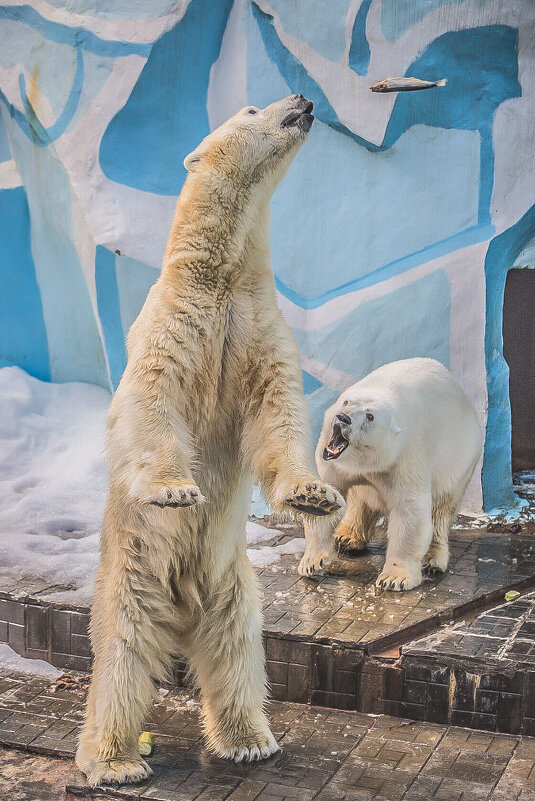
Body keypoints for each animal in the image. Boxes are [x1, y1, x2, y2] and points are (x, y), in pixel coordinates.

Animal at [76, 95, 344, 788]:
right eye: (251, 107)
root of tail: (180, 611)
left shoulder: (257, 326)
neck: (221, 276)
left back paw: (249, 739)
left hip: (232, 585)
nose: (302, 99)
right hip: (131, 576)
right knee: (122, 659)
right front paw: (175, 491)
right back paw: (114, 759)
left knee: (238, 651)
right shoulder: (175, 322)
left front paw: (314, 497)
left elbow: (277, 409)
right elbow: (152, 399)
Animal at [300, 360, 484, 592]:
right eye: (346, 402)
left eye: (370, 416)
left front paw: (394, 578)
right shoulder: (333, 463)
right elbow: (327, 498)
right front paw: (311, 561)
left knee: (443, 509)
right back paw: (346, 537)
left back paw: (433, 559)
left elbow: (409, 513)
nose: (343, 418)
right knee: (361, 499)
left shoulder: (404, 458)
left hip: (459, 461)